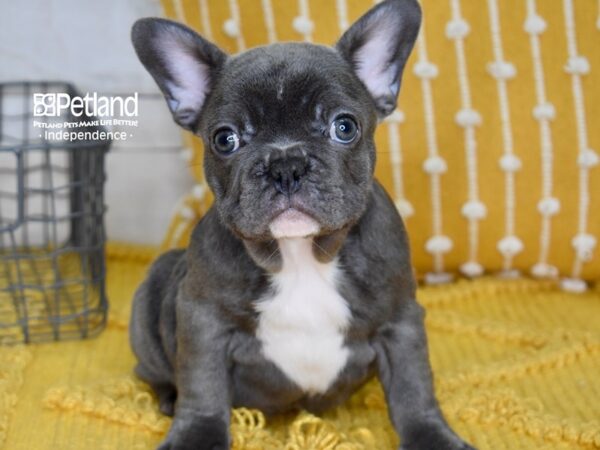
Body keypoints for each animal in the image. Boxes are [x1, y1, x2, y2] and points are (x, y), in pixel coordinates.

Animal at [129, 0, 476, 450]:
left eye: (344, 127)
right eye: (224, 139)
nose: (286, 165)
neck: (301, 254)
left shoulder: (400, 320)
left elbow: (413, 387)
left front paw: (432, 437)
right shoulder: (202, 319)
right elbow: (202, 386)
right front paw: (196, 436)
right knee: (152, 372)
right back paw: (168, 398)